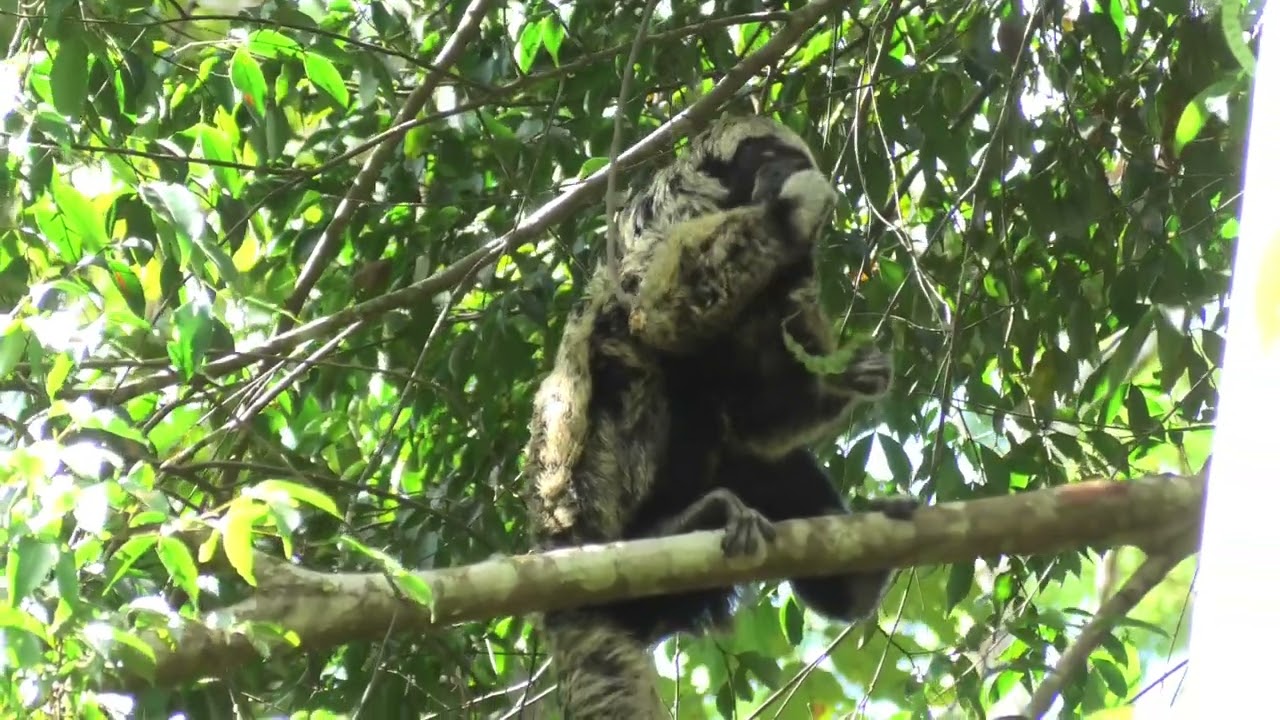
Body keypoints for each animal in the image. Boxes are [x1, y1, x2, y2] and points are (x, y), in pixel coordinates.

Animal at [522, 114, 918, 718]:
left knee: (759, 459)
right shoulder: (677, 215)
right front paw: (791, 210)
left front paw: (851, 374)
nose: (786, 172)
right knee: (633, 356)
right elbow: (655, 313)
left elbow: (761, 412)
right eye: (770, 159)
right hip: (592, 499)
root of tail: (554, 547)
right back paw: (679, 522)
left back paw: (855, 580)